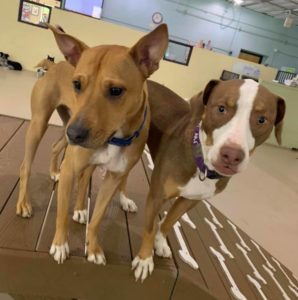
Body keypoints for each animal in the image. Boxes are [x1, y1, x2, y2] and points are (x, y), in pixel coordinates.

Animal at [16, 24, 169, 264]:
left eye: (116, 90)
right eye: (77, 84)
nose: (75, 134)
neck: (115, 137)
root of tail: (55, 64)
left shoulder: (113, 178)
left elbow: (97, 217)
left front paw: (94, 247)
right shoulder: (71, 168)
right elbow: (62, 214)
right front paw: (60, 245)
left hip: (66, 126)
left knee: (58, 148)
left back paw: (57, 176)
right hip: (42, 125)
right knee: (26, 166)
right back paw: (24, 203)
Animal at [132, 78, 286, 280]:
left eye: (261, 120)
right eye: (221, 109)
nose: (231, 155)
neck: (203, 166)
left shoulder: (190, 200)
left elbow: (169, 221)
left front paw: (161, 242)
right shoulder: (157, 196)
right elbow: (150, 229)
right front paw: (144, 259)